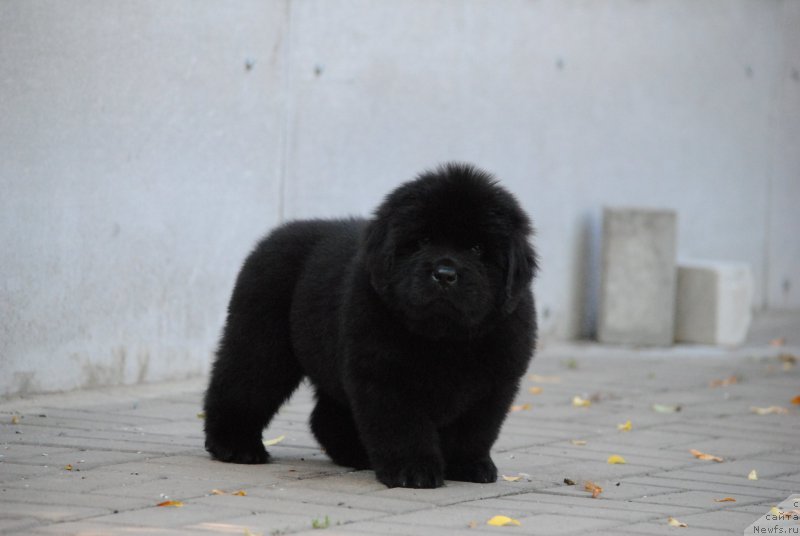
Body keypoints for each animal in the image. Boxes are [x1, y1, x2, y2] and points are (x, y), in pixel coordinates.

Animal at [203, 163, 536, 490]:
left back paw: (357, 454)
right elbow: (403, 427)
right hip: (262, 342)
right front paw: (412, 471)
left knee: (325, 417)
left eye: (477, 248)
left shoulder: (493, 386)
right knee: (242, 385)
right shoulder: (386, 376)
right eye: (423, 241)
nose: (444, 274)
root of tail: (277, 234)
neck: (444, 338)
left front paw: (468, 465)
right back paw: (235, 446)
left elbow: (474, 431)